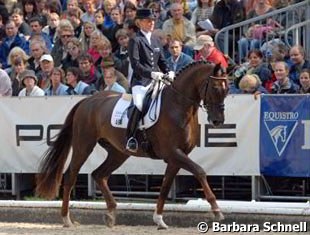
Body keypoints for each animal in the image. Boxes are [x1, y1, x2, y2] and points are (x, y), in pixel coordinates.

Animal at [36, 61, 229, 229]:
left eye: (227, 89)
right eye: (215, 88)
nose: (218, 121)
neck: (179, 106)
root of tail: (87, 101)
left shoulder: (177, 157)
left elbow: (166, 186)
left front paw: (159, 220)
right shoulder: (173, 152)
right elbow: (200, 171)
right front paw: (216, 210)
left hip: (118, 152)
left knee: (99, 174)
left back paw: (111, 214)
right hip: (84, 144)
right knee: (71, 175)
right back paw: (66, 219)